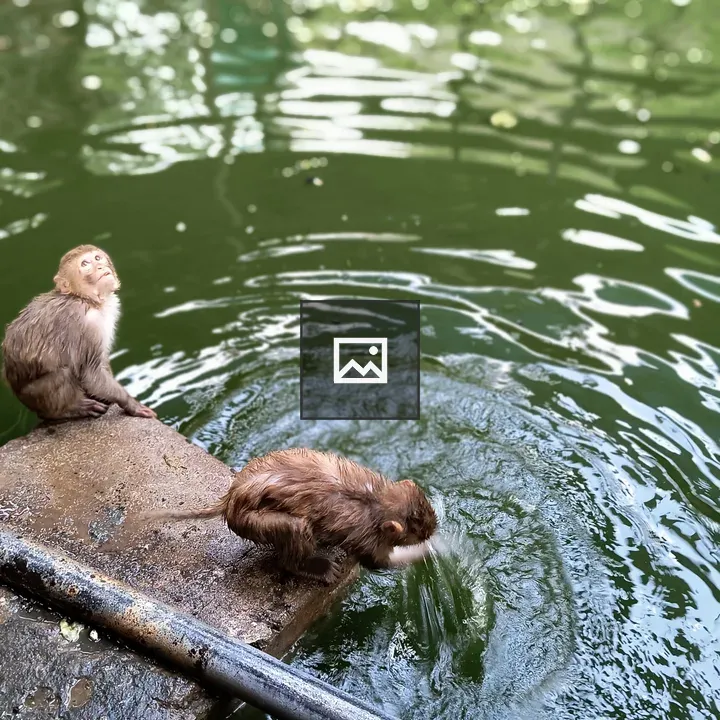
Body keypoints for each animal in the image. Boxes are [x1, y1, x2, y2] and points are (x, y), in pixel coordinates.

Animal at [1, 245, 156, 421]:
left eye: (97, 258)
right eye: (85, 264)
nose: (100, 266)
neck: (84, 298)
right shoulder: (88, 324)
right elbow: (91, 374)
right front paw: (131, 404)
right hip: (35, 395)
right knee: (63, 374)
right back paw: (67, 410)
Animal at [142, 448, 438, 584]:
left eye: (428, 514)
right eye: (417, 528)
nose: (433, 530)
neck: (375, 499)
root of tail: (231, 496)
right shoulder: (367, 536)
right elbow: (378, 562)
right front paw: (424, 552)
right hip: (263, 522)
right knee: (291, 545)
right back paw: (318, 566)